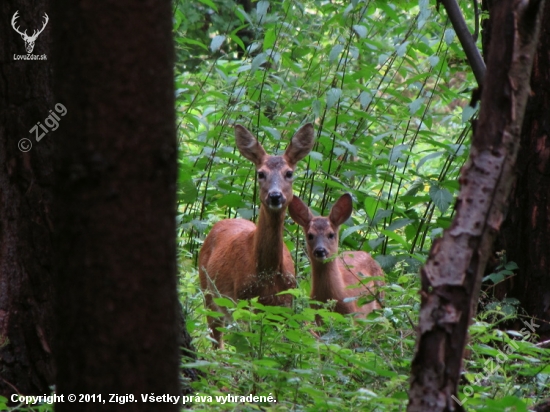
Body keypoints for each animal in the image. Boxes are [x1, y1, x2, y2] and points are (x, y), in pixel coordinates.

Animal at [202, 122, 314, 348]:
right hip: (208, 293)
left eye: (289, 173)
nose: (275, 196)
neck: (267, 274)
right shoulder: (244, 302)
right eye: (260, 173)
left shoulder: (285, 303)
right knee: (216, 339)